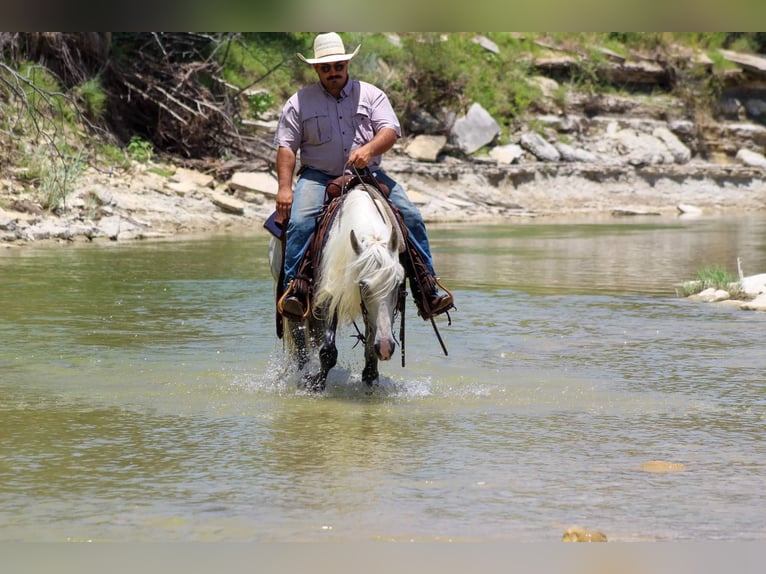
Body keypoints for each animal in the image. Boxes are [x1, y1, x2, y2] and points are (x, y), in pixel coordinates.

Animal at [269, 183, 406, 392]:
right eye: (362, 284)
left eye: (398, 284)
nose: (385, 348)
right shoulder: (329, 296)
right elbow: (328, 351)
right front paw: (314, 384)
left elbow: (369, 350)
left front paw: (370, 381)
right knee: (299, 336)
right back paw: (302, 373)